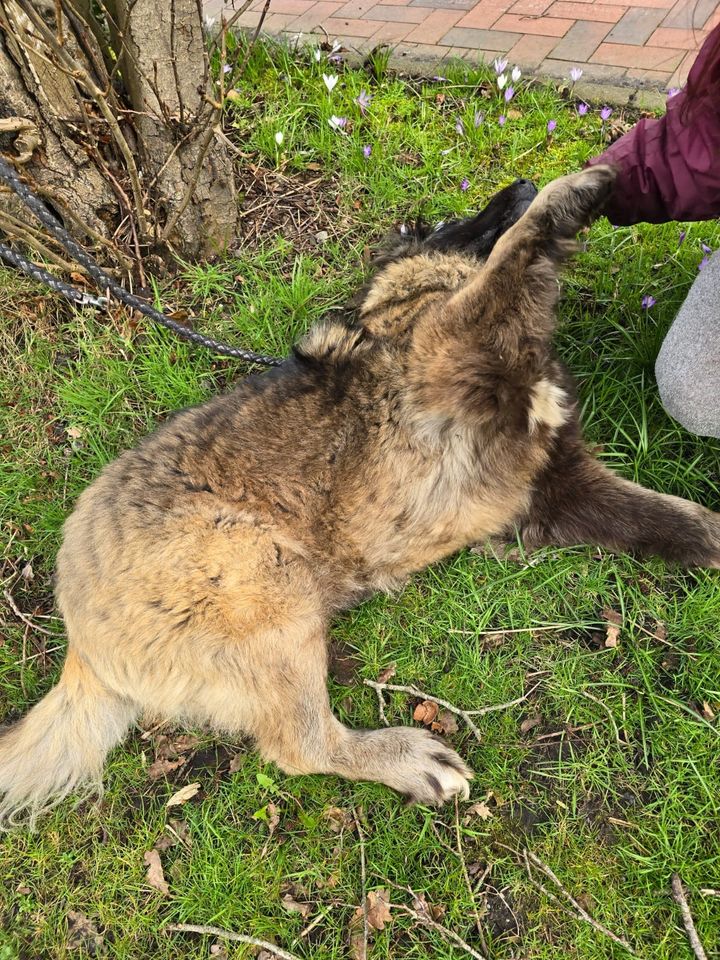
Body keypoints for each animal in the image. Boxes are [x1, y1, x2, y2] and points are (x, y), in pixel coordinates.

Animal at [1, 165, 720, 824]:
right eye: (454, 220)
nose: (518, 182)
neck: (406, 306)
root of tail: (78, 638)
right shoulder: (453, 343)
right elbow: (507, 264)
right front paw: (568, 191)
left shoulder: (555, 487)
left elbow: (675, 519)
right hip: (265, 578)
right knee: (303, 746)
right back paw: (406, 759)